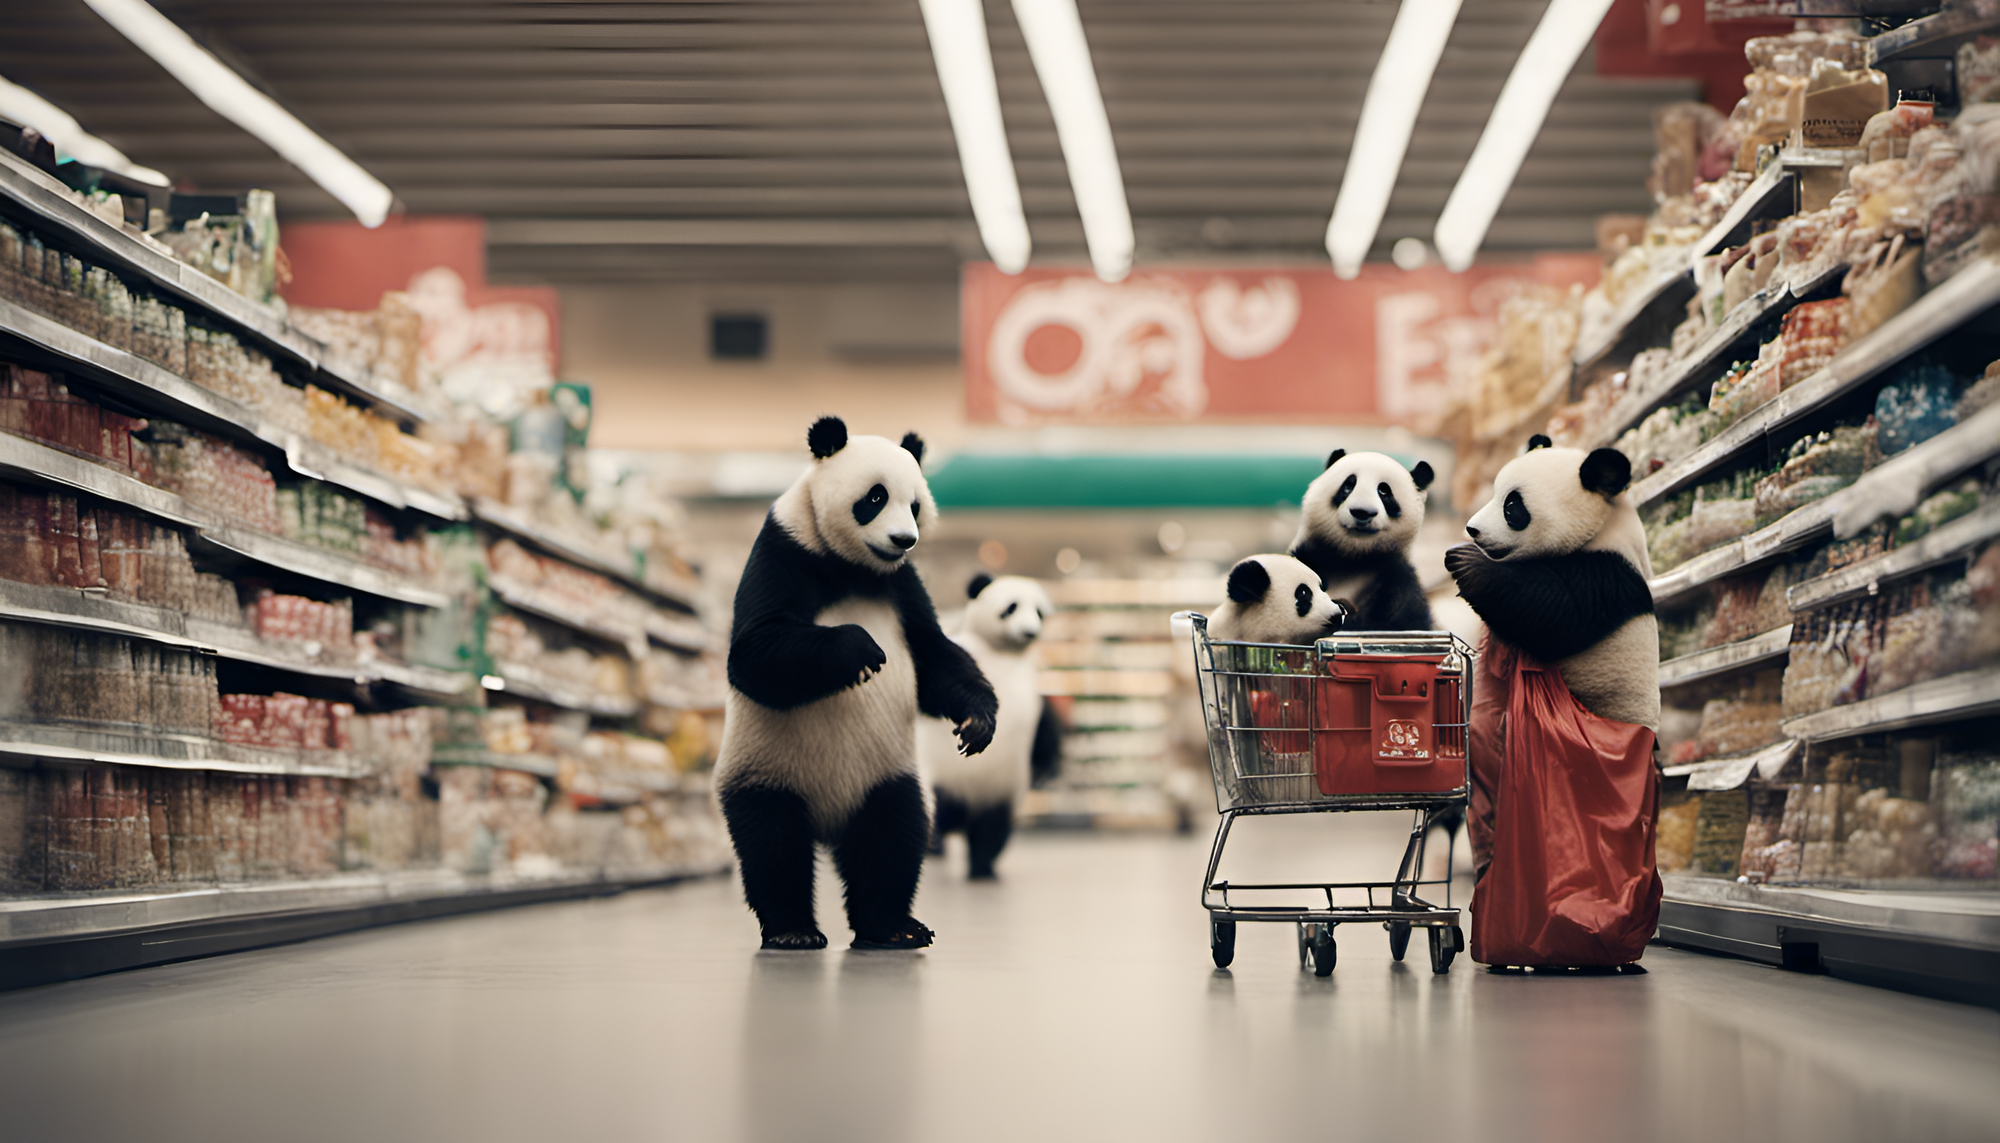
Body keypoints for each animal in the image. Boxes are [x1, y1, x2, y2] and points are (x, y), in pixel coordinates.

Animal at [720, 415, 1000, 951]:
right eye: (874, 497)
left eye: (915, 505)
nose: (904, 540)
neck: (849, 566)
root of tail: (829, 822)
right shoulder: (782, 551)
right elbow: (755, 652)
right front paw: (861, 652)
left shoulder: (904, 586)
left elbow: (934, 658)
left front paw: (977, 723)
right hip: (765, 766)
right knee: (772, 843)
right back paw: (792, 930)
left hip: (887, 774)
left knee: (894, 835)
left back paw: (891, 927)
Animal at [916, 575, 1064, 879]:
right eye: (1012, 606)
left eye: (1039, 612)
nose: (1029, 632)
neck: (1005, 653)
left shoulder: (1035, 690)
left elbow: (1046, 728)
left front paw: (1047, 770)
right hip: (934, 776)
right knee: (930, 813)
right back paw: (934, 847)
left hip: (1002, 791)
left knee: (992, 831)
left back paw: (983, 870)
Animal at [1296, 451, 1440, 635]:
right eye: (1348, 486)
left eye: (1384, 491)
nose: (1362, 512)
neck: (1354, 558)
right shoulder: (1308, 558)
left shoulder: (1396, 578)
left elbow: (1401, 622)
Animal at [1448, 433, 1664, 727]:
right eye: (1494, 494)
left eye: (1511, 507)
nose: (1472, 529)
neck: (1605, 523)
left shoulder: (1609, 573)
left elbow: (1558, 615)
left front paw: (1466, 561)